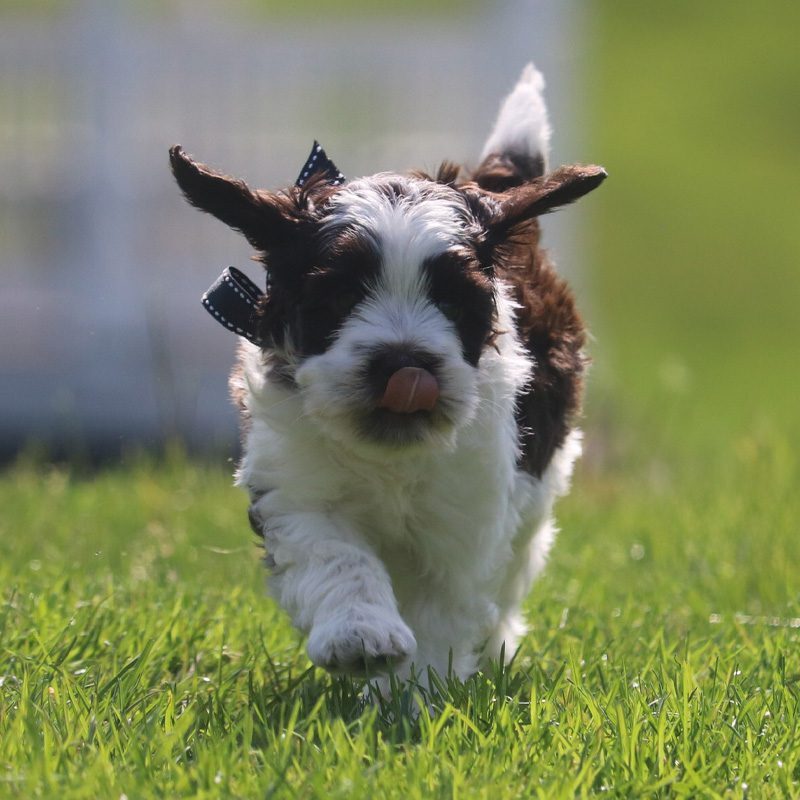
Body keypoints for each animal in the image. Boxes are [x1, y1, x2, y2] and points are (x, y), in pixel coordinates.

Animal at [170, 64, 608, 688]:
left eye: (451, 301)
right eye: (339, 296)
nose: (406, 366)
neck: (391, 456)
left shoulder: (465, 516)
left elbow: (441, 610)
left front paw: (413, 693)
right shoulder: (297, 485)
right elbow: (336, 556)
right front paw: (361, 638)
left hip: (536, 491)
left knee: (512, 577)